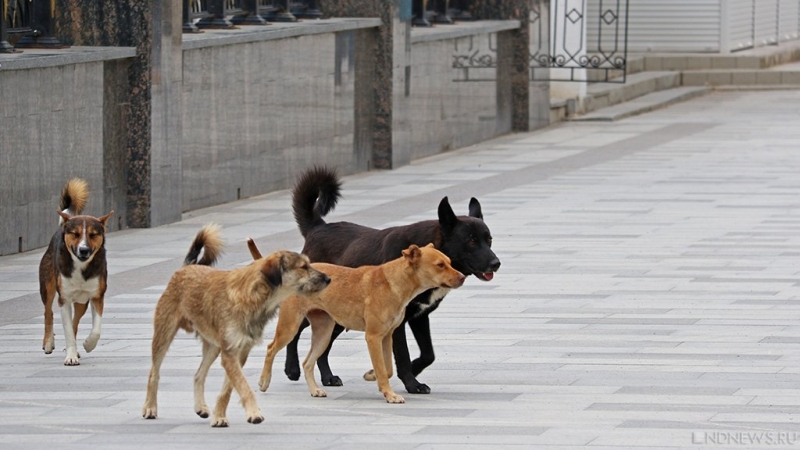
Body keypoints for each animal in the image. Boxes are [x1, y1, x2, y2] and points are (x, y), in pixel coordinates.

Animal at [38, 178, 114, 366]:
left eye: (93, 235)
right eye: (75, 234)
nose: (84, 250)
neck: (81, 266)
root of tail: (64, 224)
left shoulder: (97, 295)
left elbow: (96, 329)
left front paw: (87, 344)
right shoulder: (63, 298)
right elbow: (66, 330)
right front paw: (71, 356)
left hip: (82, 301)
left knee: (75, 321)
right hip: (47, 285)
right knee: (48, 311)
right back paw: (48, 343)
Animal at [142, 227, 330, 428]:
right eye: (303, 267)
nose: (328, 278)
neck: (253, 296)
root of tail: (186, 268)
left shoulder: (240, 352)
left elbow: (229, 389)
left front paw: (219, 415)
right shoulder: (230, 353)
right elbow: (244, 386)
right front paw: (254, 412)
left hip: (213, 345)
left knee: (199, 375)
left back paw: (200, 406)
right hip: (164, 332)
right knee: (154, 372)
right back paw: (150, 407)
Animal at [247, 241, 466, 402]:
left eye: (450, 261)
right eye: (440, 265)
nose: (463, 277)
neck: (394, 282)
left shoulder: (387, 336)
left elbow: (387, 368)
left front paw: (371, 375)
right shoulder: (373, 336)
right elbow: (383, 368)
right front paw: (390, 394)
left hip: (324, 331)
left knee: (308, 362)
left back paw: (315, 390)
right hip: (291, 325)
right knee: (271, 348)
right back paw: (264, 381)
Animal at [282, 166, 500, 394]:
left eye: (489, 240)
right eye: (471, 241)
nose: (496, 263)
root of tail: (317, 227)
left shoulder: (420, 317)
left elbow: (428, 354)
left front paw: (407, 370)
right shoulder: (398, 323)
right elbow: (402, 355)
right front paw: (411, 383)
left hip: (337, 316)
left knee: (324, 346)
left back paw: (327, 376)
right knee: (294, 333)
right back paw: (292, 368)